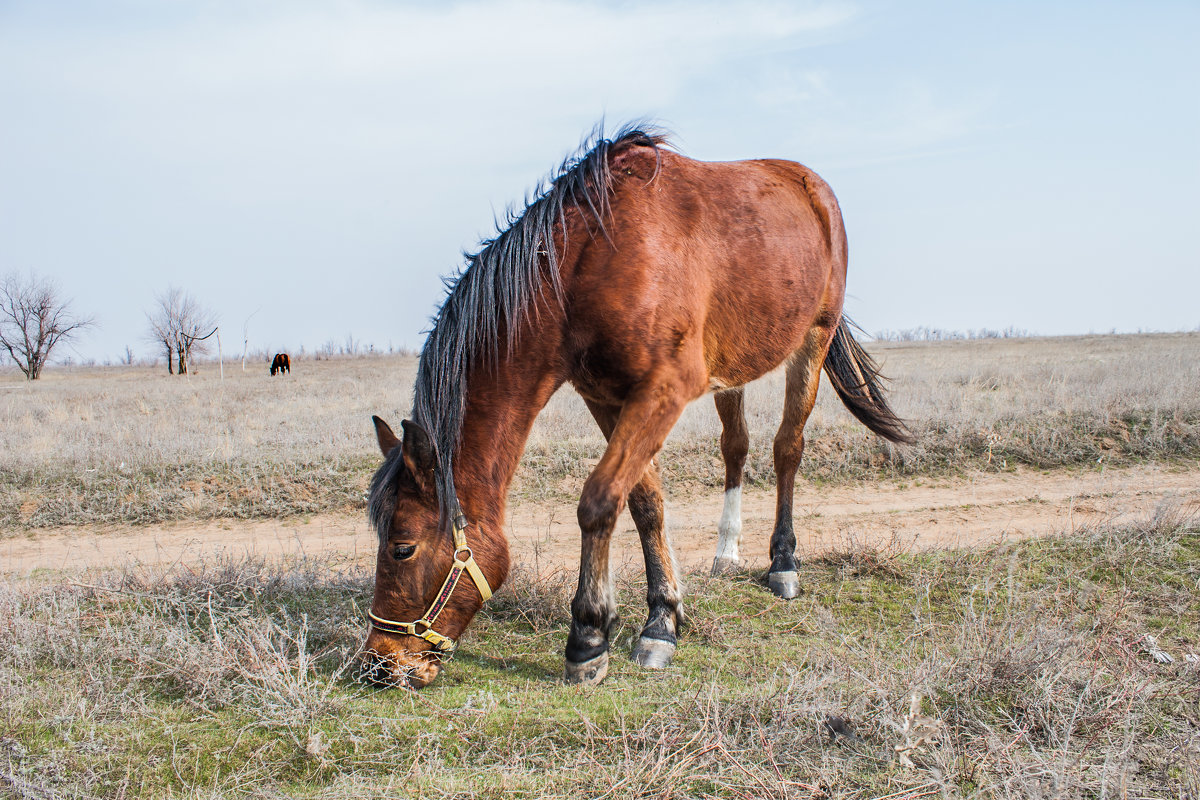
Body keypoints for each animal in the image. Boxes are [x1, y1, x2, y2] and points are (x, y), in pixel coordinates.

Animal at [362, 125, 907, 690]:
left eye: (402, 547)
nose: (379, 663)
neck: (585, 266)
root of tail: (811, 185)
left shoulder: (663, 390)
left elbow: (599, 500)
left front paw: (588, 638)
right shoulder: (605, 397)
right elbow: (645, 502)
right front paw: (663, 617)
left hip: (813, 341)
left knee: (787, 448)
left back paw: (783, 563)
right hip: (732, 368)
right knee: (736, 448)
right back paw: (727, 552)